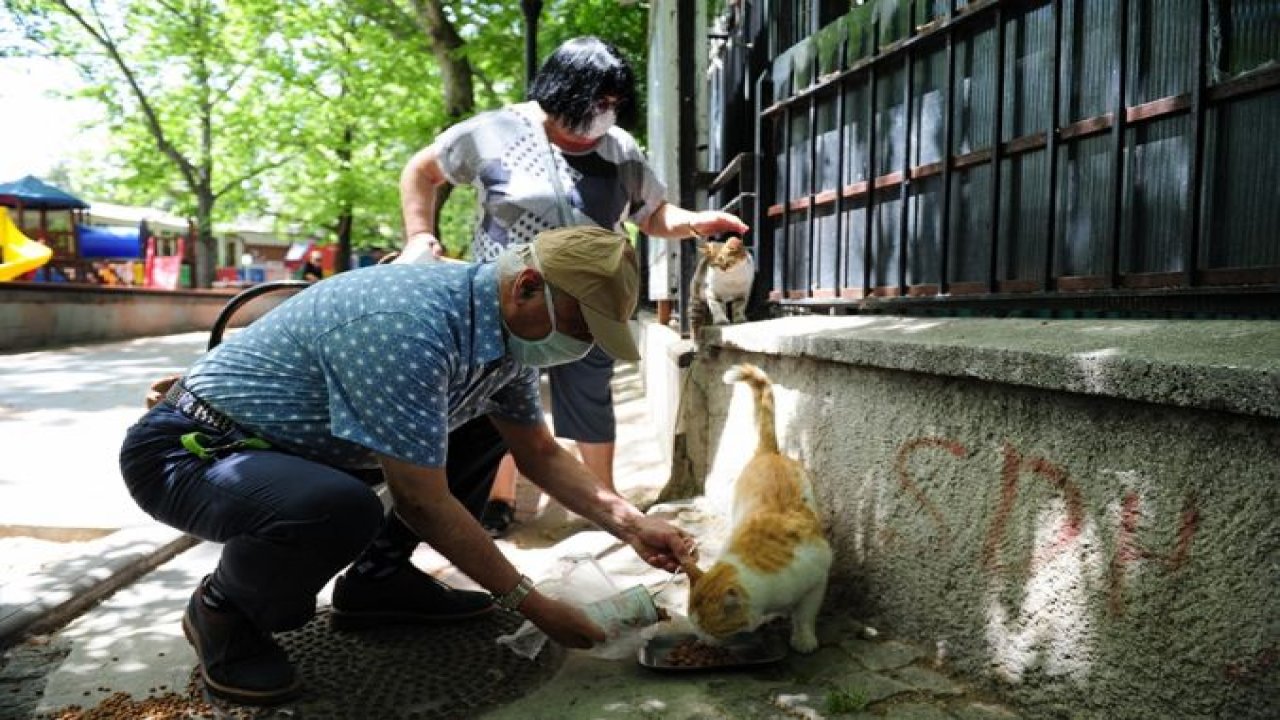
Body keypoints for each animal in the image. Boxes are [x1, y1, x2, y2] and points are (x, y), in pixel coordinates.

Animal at [686, 363, 834, 650]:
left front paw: (803, 638)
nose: (699, 641)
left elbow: (806, 614)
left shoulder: (818, 580)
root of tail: (769, 453)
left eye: (708, 628)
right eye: (693, 625)